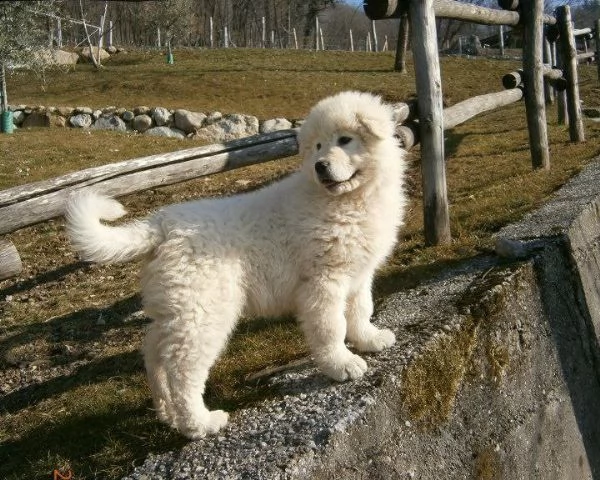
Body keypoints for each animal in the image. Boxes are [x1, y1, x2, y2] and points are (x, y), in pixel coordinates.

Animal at [68, 91, 410, 438]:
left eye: (344, 139)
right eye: (317, 146)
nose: (320, 166)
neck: (348, 200)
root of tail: (162, 225)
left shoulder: (359, 274)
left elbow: (360, 310)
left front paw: (370, 339)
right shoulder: (324, 281)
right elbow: (331, 326)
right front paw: (342, 364)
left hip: (175, 307)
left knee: (154, 352)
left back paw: (166, 413)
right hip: (204, 311)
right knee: (183, 369)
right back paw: (199, 423)